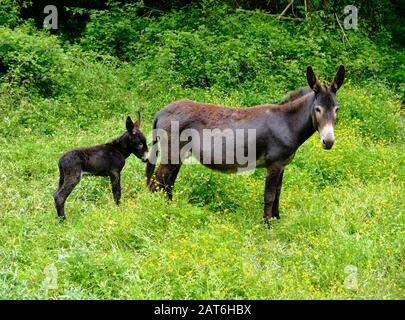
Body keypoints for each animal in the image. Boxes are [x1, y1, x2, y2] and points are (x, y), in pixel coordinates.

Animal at [145, 63, 344, 221]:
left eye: (336, 109)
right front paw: (267, 224)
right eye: (317, 109)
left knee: (167, 185)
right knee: (155, 184)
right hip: (171, 154)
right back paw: (156, 214)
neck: (287, 123)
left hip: (179, 156)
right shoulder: (274, 164)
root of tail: (160, 112)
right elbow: (269, 196)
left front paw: (277, 219)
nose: (328, 142)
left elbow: (278, 193)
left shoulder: (282, 165)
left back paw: (169, 211)